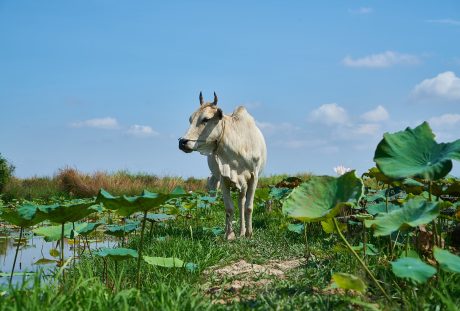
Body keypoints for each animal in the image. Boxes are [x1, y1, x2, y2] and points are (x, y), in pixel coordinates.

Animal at [179, 92, 266, 241]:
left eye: (206, 119)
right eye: (190, 119)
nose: (183, 142)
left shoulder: (254, 177)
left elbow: (249, 207)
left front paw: (249, 233)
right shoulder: (224, 177)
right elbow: (229, 208)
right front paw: (229, 235)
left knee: (242, 203)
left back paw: (243, 231)